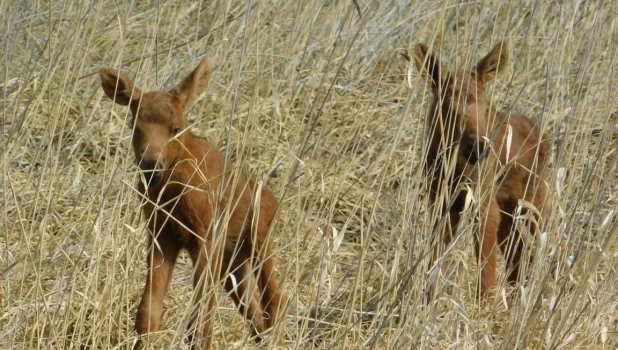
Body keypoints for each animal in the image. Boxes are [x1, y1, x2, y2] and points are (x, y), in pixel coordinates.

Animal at [100, 58, 286, 348]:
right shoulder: (161, 233)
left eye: (176, 129)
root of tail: (272, 198)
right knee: (254, 310)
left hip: (258, 238)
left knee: (275, 299)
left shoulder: (207, 233)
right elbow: (148, 312)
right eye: (134, 127)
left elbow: (202, 315)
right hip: (234, 262)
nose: (151, 166)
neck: (173, 191)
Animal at [414, 42, 548, 296]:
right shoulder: (441, 203)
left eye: (486, 108)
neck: (453, 168)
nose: (478, 148)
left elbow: (486, 273)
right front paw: (427, 297)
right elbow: (433, 263)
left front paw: (486, 301)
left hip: (533, 202)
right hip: (509, 211)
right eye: (448, 108)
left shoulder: (483, 204)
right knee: (519, 254)